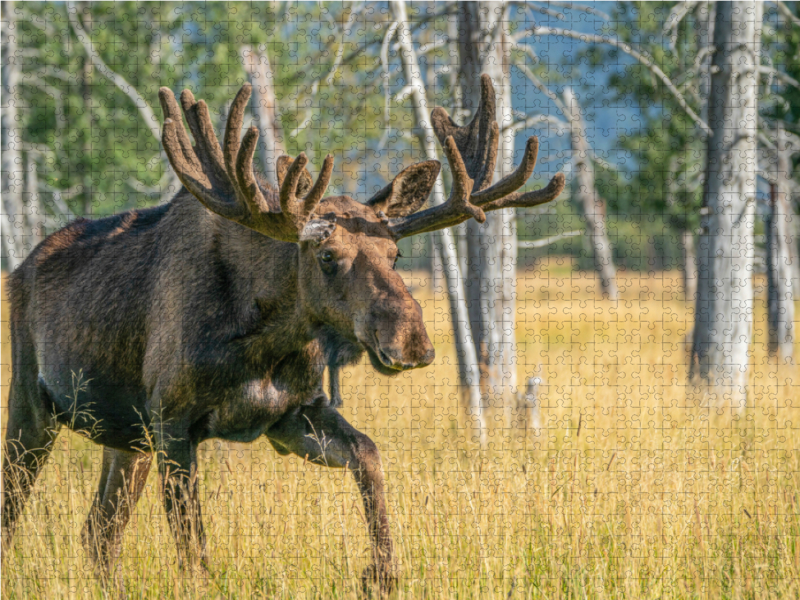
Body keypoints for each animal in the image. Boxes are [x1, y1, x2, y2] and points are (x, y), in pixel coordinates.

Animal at [1, 74, 564, 592]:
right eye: (328, 256)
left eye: (396, 253)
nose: (412, 342)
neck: (263, 342)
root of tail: (22, 268)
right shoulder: (172, 419)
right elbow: (194, 551)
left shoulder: (290, 415)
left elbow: (369, 455)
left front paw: (381, 572)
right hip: (33, 402)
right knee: (20, 511)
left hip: (125, 438)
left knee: (98, 534)